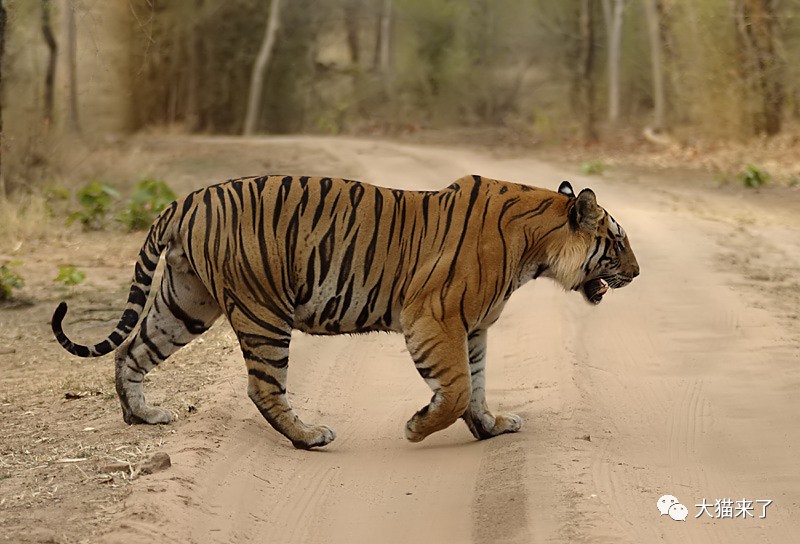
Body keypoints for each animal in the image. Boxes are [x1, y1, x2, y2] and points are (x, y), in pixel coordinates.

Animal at [50, 175, 640, 450]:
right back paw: (309, 437)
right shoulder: (433, 318)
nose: (637, 273)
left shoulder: (471, 328)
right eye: (617, 242)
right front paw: (418, 427)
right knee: (262, 386)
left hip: (186, 303)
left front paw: (490, 426)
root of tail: (185, 200)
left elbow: (475, 385)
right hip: (263, 312)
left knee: (131, 351)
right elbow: (454, 389)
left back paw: (142, 415)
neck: (536, 247)